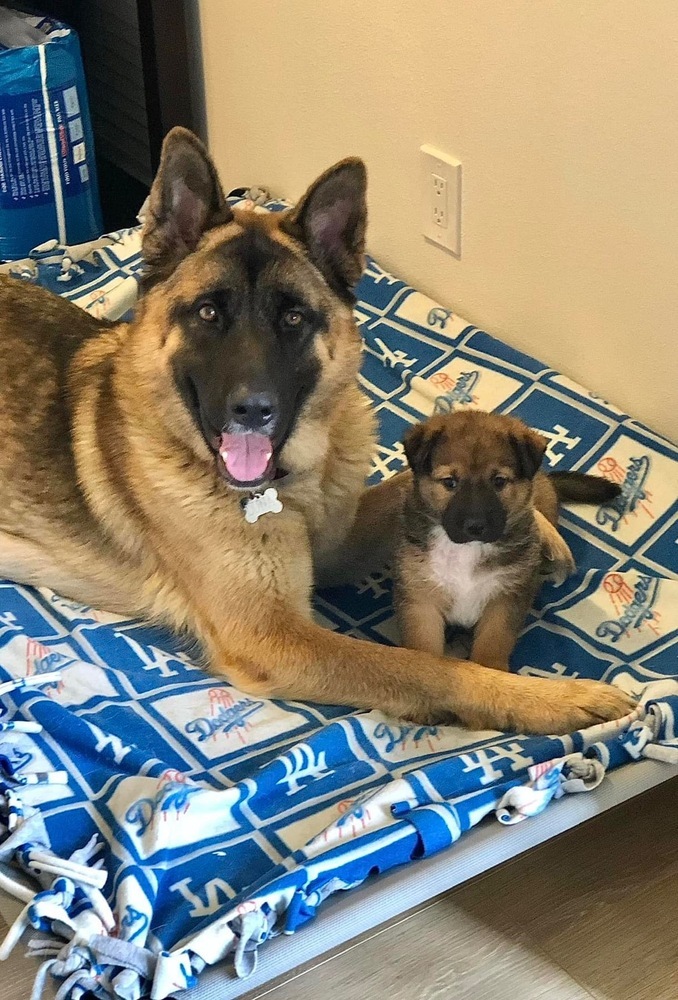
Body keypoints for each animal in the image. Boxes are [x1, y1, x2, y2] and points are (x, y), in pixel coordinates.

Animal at [396, 406, 624, 672]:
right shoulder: (421, 601)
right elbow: (424, 651)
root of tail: (546, 477)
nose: (476, 527)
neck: (468, 551)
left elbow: (492, 648)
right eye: (450, 482)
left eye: (499, 481)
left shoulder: (504, 601)